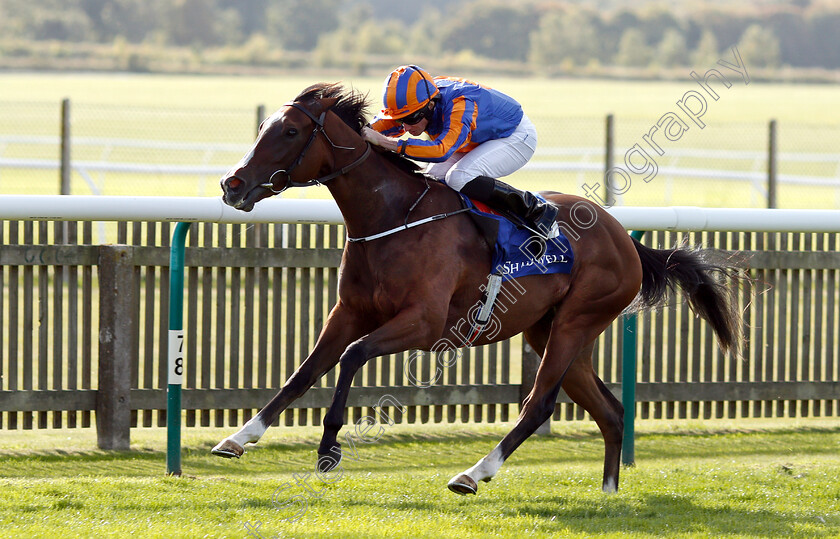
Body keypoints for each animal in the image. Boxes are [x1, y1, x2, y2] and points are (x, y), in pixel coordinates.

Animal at [213, 83, 740, 494]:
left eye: (290, 132)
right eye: (263, 129)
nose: (231, 184)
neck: (392, 217)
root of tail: (625, 239)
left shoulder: (424, 324)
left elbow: (352, 355)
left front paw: (328, 449)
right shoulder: (347, 311)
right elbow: (302, 374)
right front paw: (237, 439)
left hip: (577, 321)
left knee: (539, 403)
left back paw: (473, 473)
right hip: (552, 333)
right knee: (609, 411)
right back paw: (609, 492)